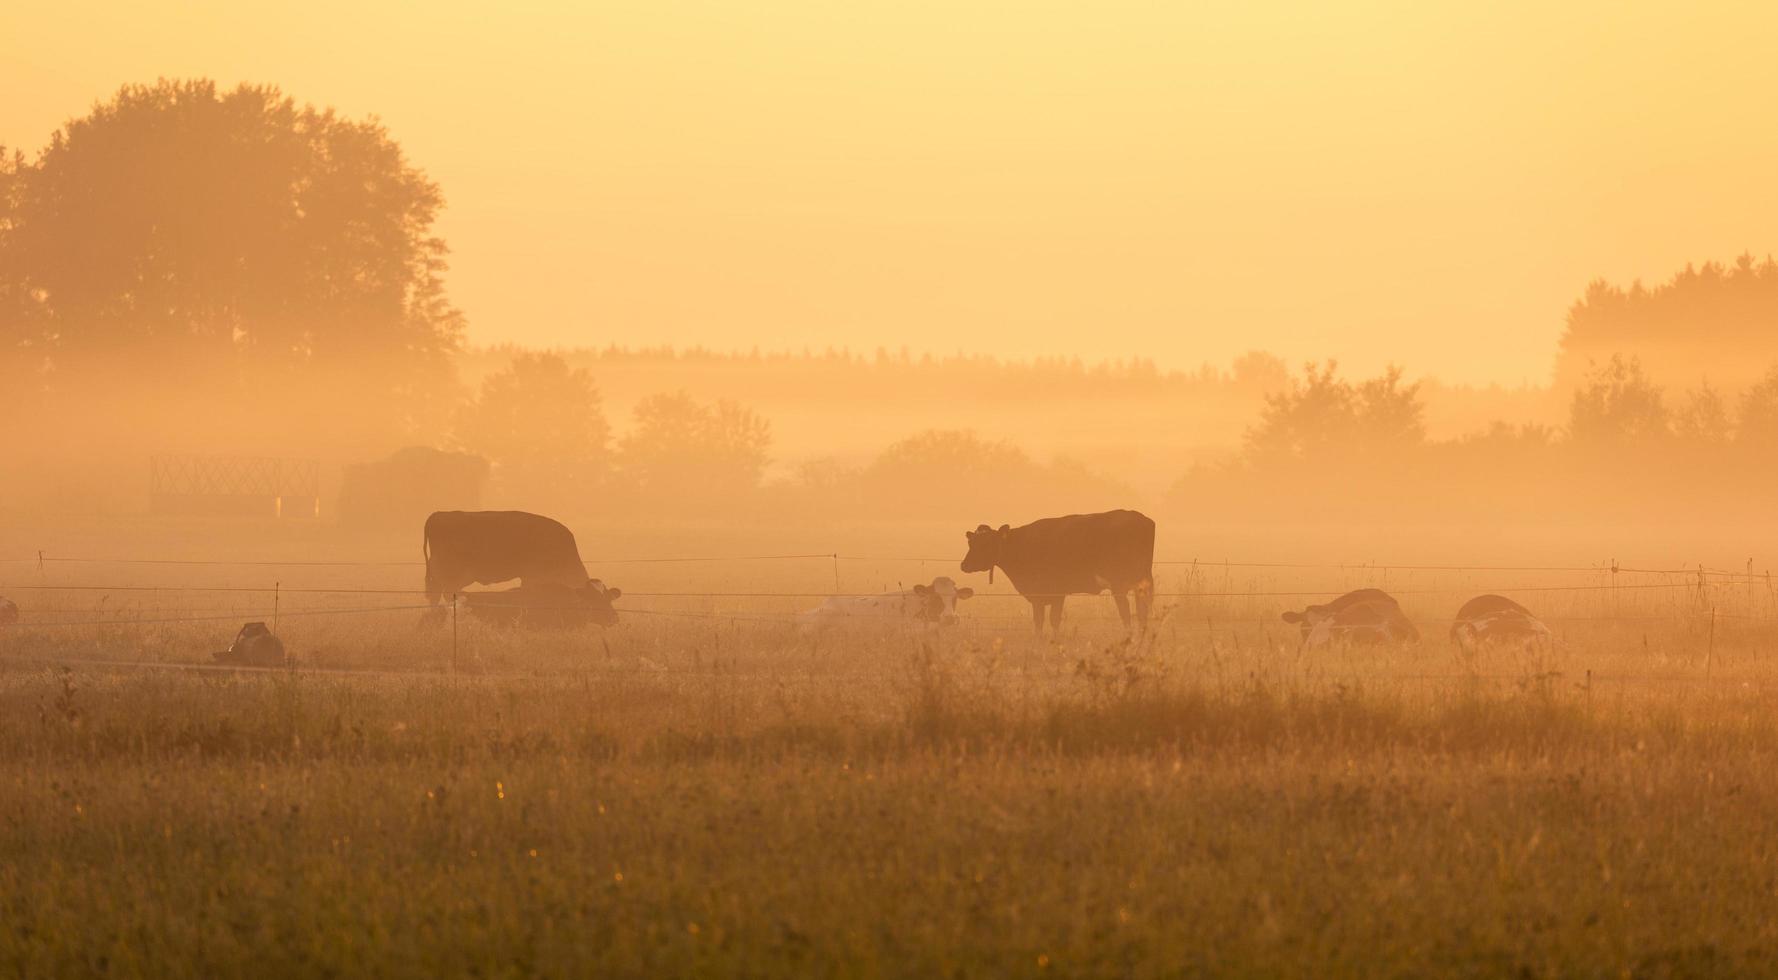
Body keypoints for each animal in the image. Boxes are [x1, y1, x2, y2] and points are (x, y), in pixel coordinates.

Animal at [960, 508, 1152, 640]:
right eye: (971, 542)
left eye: (985, 543)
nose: (964, 565)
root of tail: (1138, 517)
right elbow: (1044, 620)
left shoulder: (1052, 593)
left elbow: (1047, 619)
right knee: (1142, 613)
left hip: (1120, 584)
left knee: (1126, 612)